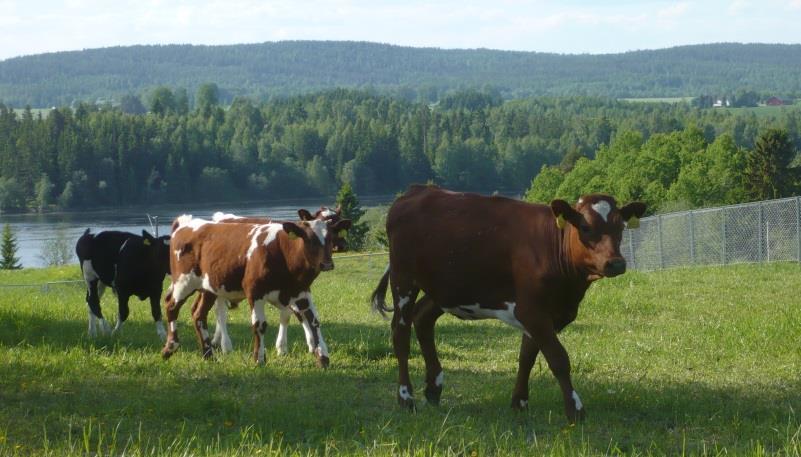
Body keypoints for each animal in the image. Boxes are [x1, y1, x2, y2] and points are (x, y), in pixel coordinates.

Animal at [161, 213, 348, 364]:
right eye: (309, 239)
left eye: (330, 238)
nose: (327, 264)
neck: (283, 252)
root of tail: (185, 223)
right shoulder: (254, 291)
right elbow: (259, 325)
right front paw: (259, 359)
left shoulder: (301, 291)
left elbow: (313, 320)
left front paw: (322, 357)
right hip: (184, 282)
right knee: (172, 306)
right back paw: (170, 347)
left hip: (209, 288)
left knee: (199, 315)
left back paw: (209, 355)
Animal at [370, 183, 644, 422]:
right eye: (586, 227)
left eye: (621, 227)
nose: (616, 263)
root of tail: (416, 190)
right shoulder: (531, 310)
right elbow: (558, 358)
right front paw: (575, 409)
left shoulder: (543, 312)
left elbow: (527, 357)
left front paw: (519, 402)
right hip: (403, 279)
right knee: (400, 334)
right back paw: (406, 398)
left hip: (447, 288)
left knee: (423, 318)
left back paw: (434, 389)